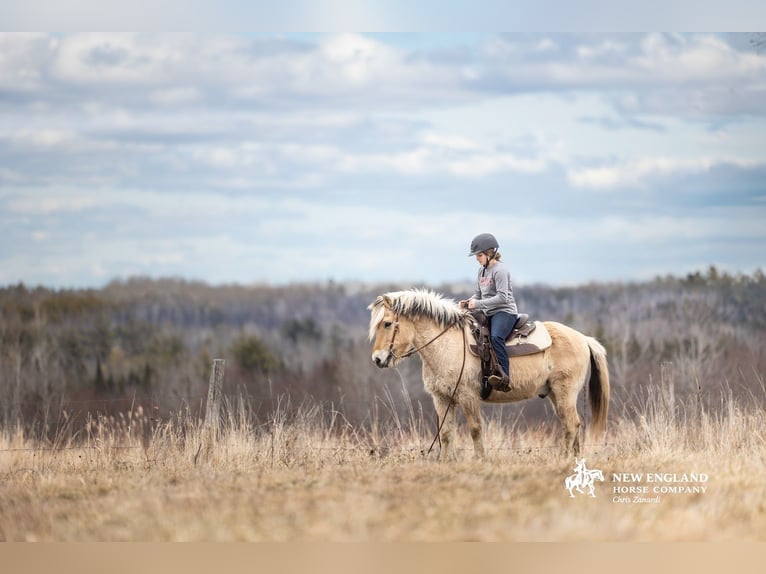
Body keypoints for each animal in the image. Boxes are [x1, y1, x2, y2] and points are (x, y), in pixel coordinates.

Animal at [368, 288, 609, 459]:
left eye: (387, 324)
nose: (377, 359)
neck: (447, 344)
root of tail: (583, 338)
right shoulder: (442, 398)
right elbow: (446, 434)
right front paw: (446, 462)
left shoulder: (468, 396)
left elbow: (475, 429)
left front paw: (480, 459)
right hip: (555, 394)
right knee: (571, 424)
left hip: (564, 392)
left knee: (571, 425)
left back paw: (563, 458)